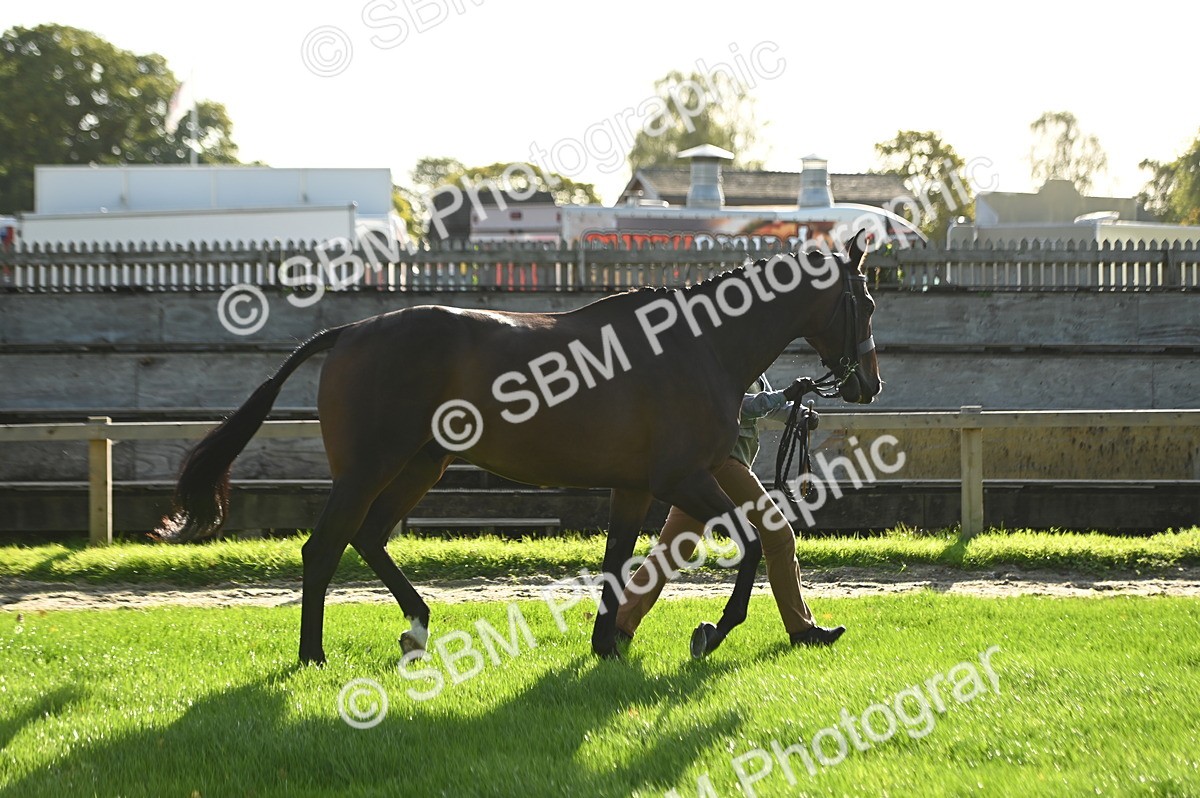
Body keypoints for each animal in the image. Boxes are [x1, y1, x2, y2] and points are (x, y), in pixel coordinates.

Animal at [154, 232, 881, 664]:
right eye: (868, 303)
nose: (868, 383)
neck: (696, 346)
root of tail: (350, 333)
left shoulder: (636, 486)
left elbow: (619, 562)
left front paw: (607, 644)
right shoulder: (682, 478)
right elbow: (752, 544)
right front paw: (710, 632)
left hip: (421, 465)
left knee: (368, 536)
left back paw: (417, 628)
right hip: (370, 467)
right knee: (325, 547)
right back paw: (314, 656)